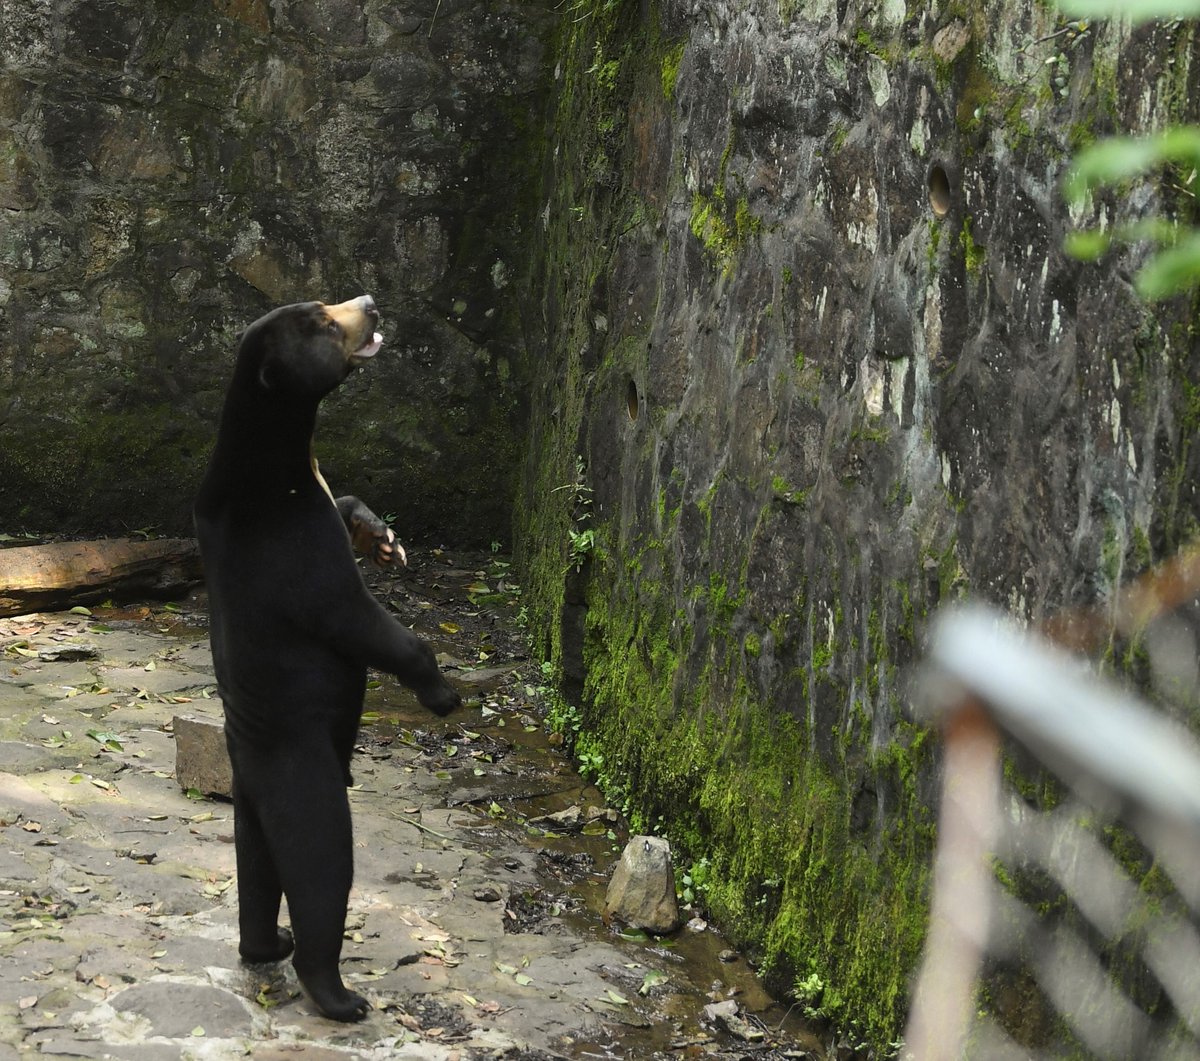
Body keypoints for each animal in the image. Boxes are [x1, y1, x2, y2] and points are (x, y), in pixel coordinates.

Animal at [194, 295, 461, 1021]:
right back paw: (338, 993)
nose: (368, 302)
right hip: (303, 777)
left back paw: (267, 943)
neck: (279, 455)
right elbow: (354, 618)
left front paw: (385, 539)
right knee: (321, 869)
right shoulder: (290, 545)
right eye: (320, 319)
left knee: (256, 871)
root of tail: (252, 771)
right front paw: (442, 692)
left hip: (249, 804)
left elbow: (345, 504)